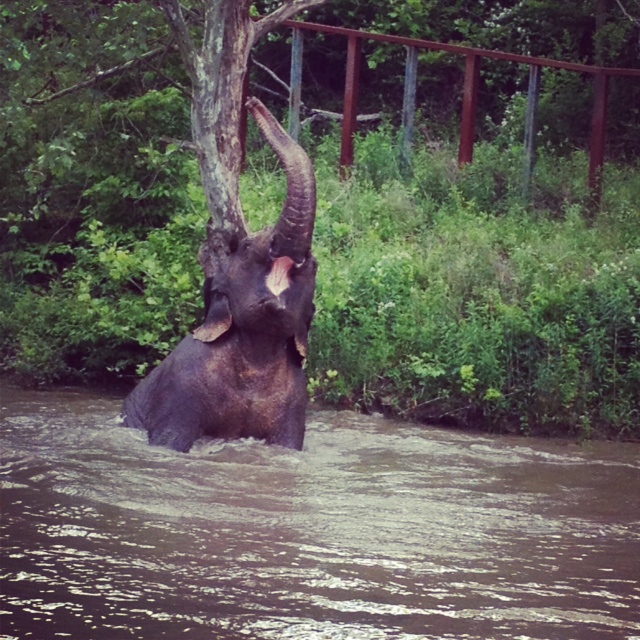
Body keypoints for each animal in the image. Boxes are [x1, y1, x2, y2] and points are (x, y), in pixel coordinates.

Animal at [119, 97, 316, 452]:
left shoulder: (298, 401)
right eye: (248, 246)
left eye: (315, 265)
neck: (257, 352)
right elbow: (170, 441)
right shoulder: (180, 387)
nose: (251, 101)